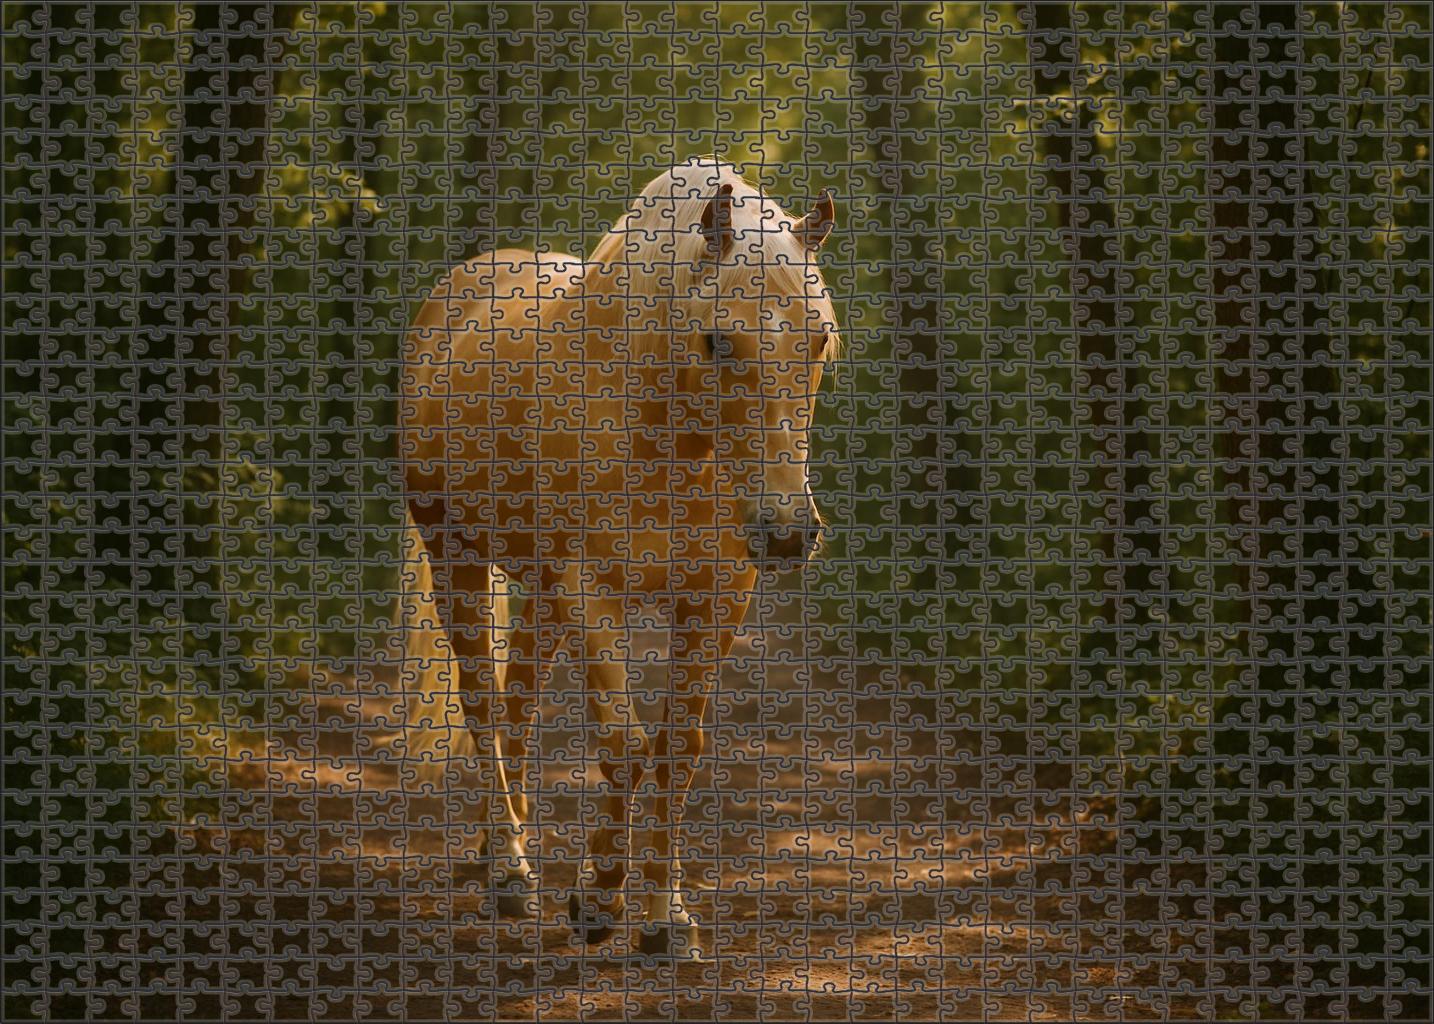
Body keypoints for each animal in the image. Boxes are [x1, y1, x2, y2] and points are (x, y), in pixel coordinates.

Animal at [397, 157, 838, 957]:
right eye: (718, 342)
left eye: (818, 341)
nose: (787, 532)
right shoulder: (589, 591)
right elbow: (625, 746)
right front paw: (599, 898)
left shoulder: (713, 602)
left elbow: (676, 750)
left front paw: (665, 917)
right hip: (457, 559)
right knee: (482, 703)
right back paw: (507, 872)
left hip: (538, 591)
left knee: (517, 707)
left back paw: (501, 847)